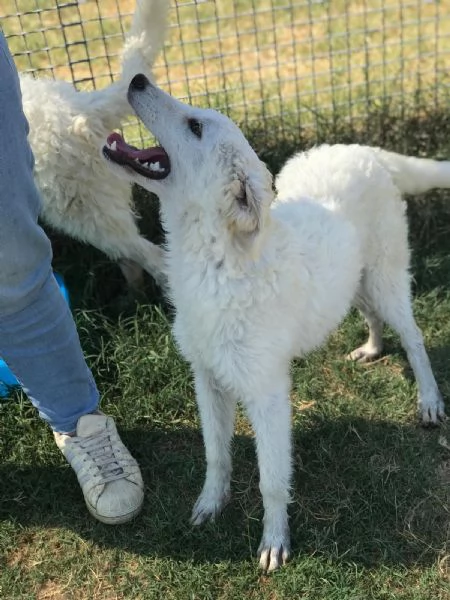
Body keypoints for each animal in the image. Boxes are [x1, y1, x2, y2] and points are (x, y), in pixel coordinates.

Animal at [103, 75, 450, 572]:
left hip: (386, 277)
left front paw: (274, 541)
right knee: (372, 317)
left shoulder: (267, 394)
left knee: (415, 338)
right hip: (354, 279)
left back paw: (429, 401)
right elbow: (216, 455)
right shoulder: (207, 379)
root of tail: (362, 150)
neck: (217, 261)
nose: (136, 79)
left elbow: (271, 478)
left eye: (195, 126)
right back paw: (371, 348)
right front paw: (211, 504)